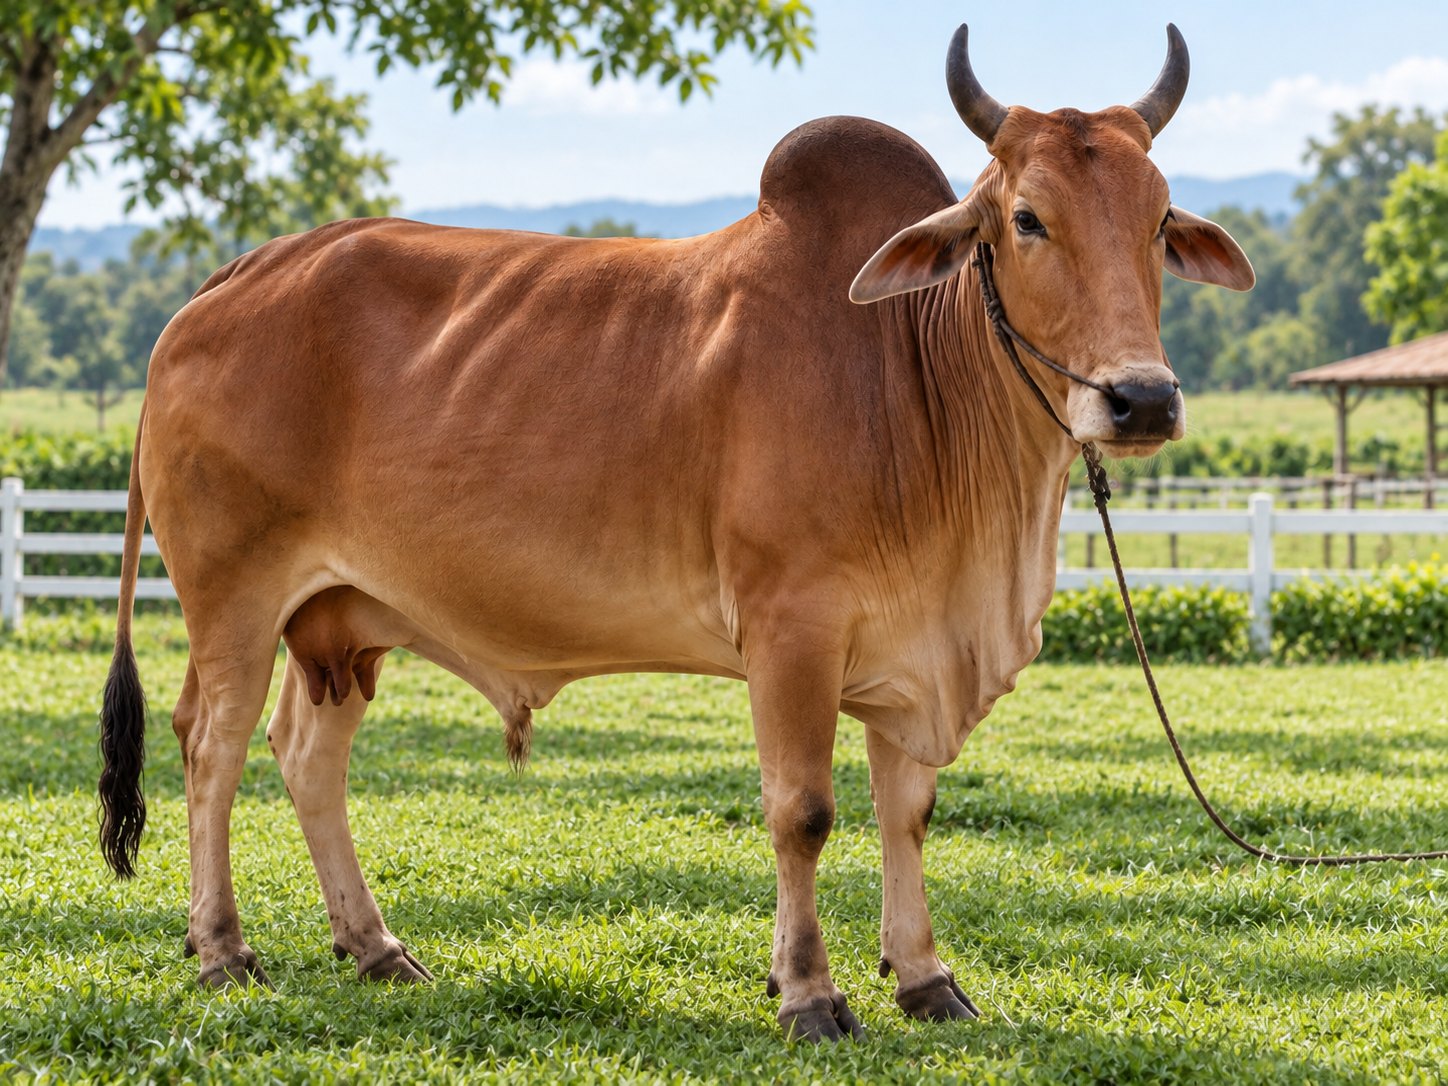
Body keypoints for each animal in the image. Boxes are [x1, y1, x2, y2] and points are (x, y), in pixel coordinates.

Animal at [98, 24, 1252, 1041]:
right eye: (1024, 218)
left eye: (1158, 221)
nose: (1140, 399)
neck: (905, 371)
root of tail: (227, 281)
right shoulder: (791, 628)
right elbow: (803, 811)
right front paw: (808, 995)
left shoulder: (911, 644)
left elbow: (907, 812)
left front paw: (925, 978)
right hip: (235, 596)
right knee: (211, 746)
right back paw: (223, 950)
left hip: (342, 618)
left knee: (306, 756)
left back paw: (375, 947)